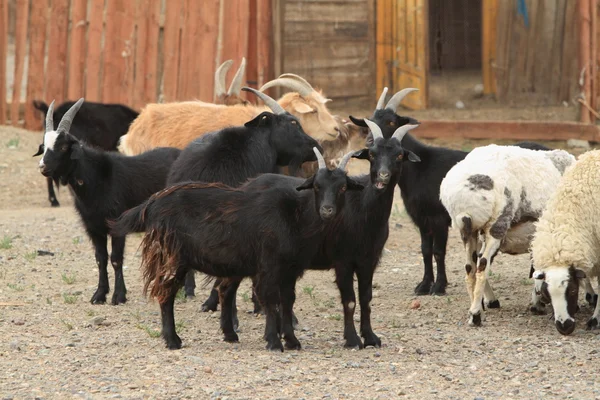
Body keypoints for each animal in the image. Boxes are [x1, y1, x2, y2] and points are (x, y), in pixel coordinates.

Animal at [35, 98, 178, 304]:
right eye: (44, 146)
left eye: (62, 146)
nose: (43, 167)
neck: (97, 179)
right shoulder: (93, 228)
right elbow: (100, 259)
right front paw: (100, 294)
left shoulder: (117, 225)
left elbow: (116, 259)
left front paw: (119, 296)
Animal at [109, 148, 364, 352]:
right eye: (317, 186)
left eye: (343, 187)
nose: (327, 210)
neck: (295, 215)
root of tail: (151, 204)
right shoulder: (269, 265)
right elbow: (270, 300)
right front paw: (274, 342)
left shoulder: (290, 269)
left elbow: (287, 300)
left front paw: (292, 341)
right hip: (173, 256)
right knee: (166, 293)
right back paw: (173, 340)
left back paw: (223, 335)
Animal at [350, 87, 552, 296]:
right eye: (370, 122)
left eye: (391, 122)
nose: (370, 141)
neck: (421, 167)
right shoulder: (422, 219)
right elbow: (425, 250)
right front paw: (424, 285)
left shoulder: (439, 218)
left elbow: (439, 252)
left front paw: (439, 286)